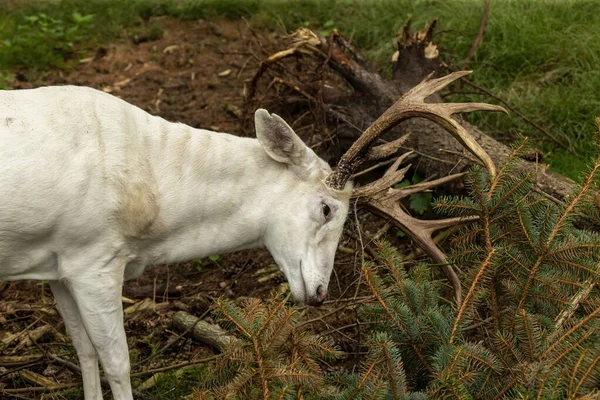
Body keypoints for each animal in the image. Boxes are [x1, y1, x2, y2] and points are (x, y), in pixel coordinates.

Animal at [1, 86, 352, 398]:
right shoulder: (92, 259)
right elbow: (117, 363)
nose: (320, 293)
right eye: (326, 209)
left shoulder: (60, 265)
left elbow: (84, 351)